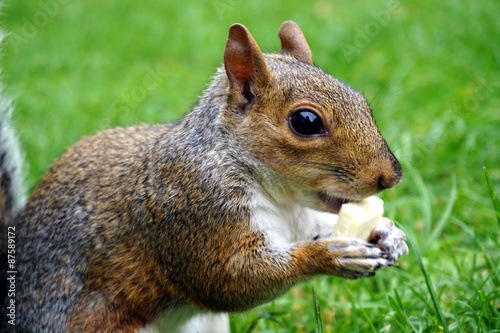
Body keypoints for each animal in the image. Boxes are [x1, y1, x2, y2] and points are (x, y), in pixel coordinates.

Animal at [0, 21, 408, 332]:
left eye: (363, 102)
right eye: (305, 121)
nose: (391, 176)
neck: (282, 198)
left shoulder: (301, 219)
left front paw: (388, 232)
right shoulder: (197, 211)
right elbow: (229, 279)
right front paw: (330, 255)